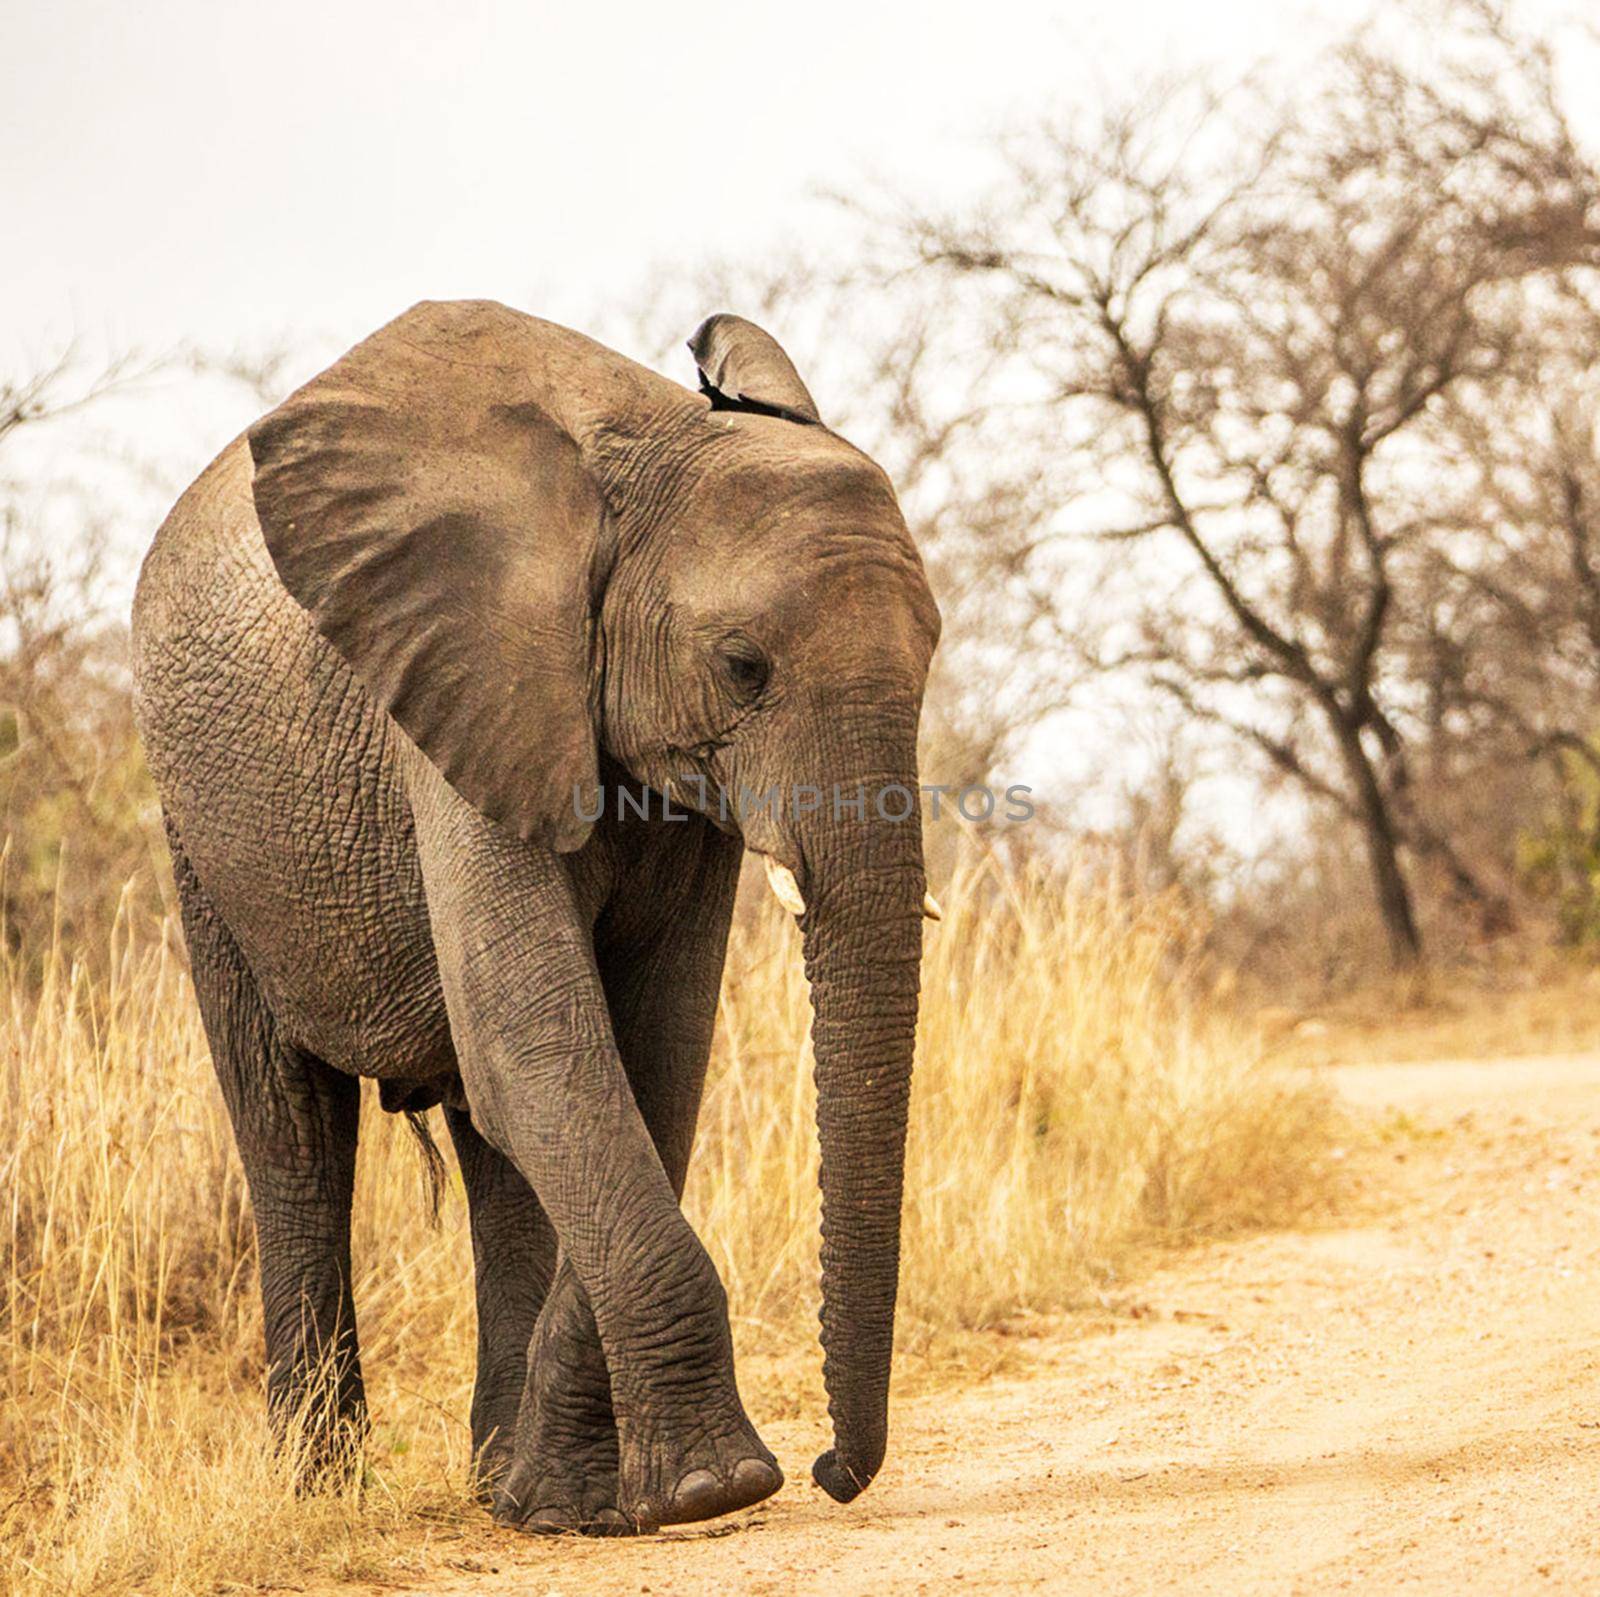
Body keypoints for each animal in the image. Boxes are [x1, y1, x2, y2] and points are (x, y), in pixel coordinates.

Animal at [134, 300, 947, 1536]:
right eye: (741, 665)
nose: (830, 1471)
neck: (649, 449)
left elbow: (645, 1060)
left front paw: (574, 1500)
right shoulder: (458, 697)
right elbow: (541, 1048)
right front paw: (712, 1489)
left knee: (490, 1151)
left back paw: (495, 1478)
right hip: (202, 824)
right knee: (289, 1126)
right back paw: (318, 1488)